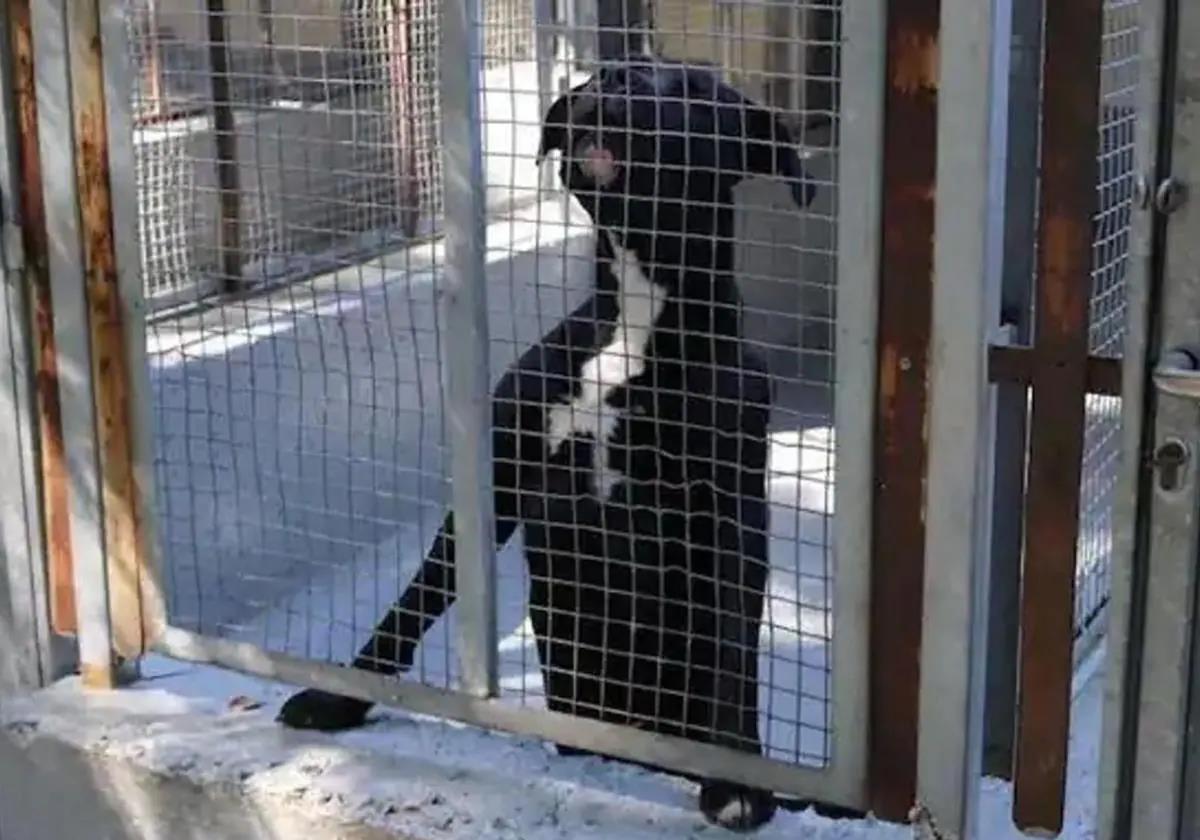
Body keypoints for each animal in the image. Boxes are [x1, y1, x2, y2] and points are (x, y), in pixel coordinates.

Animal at [276, 60, 811, 835]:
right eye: (603, 79)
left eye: (694, 90)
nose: (615, 82)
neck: (634, 317)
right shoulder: (500, 476)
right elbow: (416, 599)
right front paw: (340, 696)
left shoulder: (732, 506)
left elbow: (735, 645)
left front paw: (735, 777)